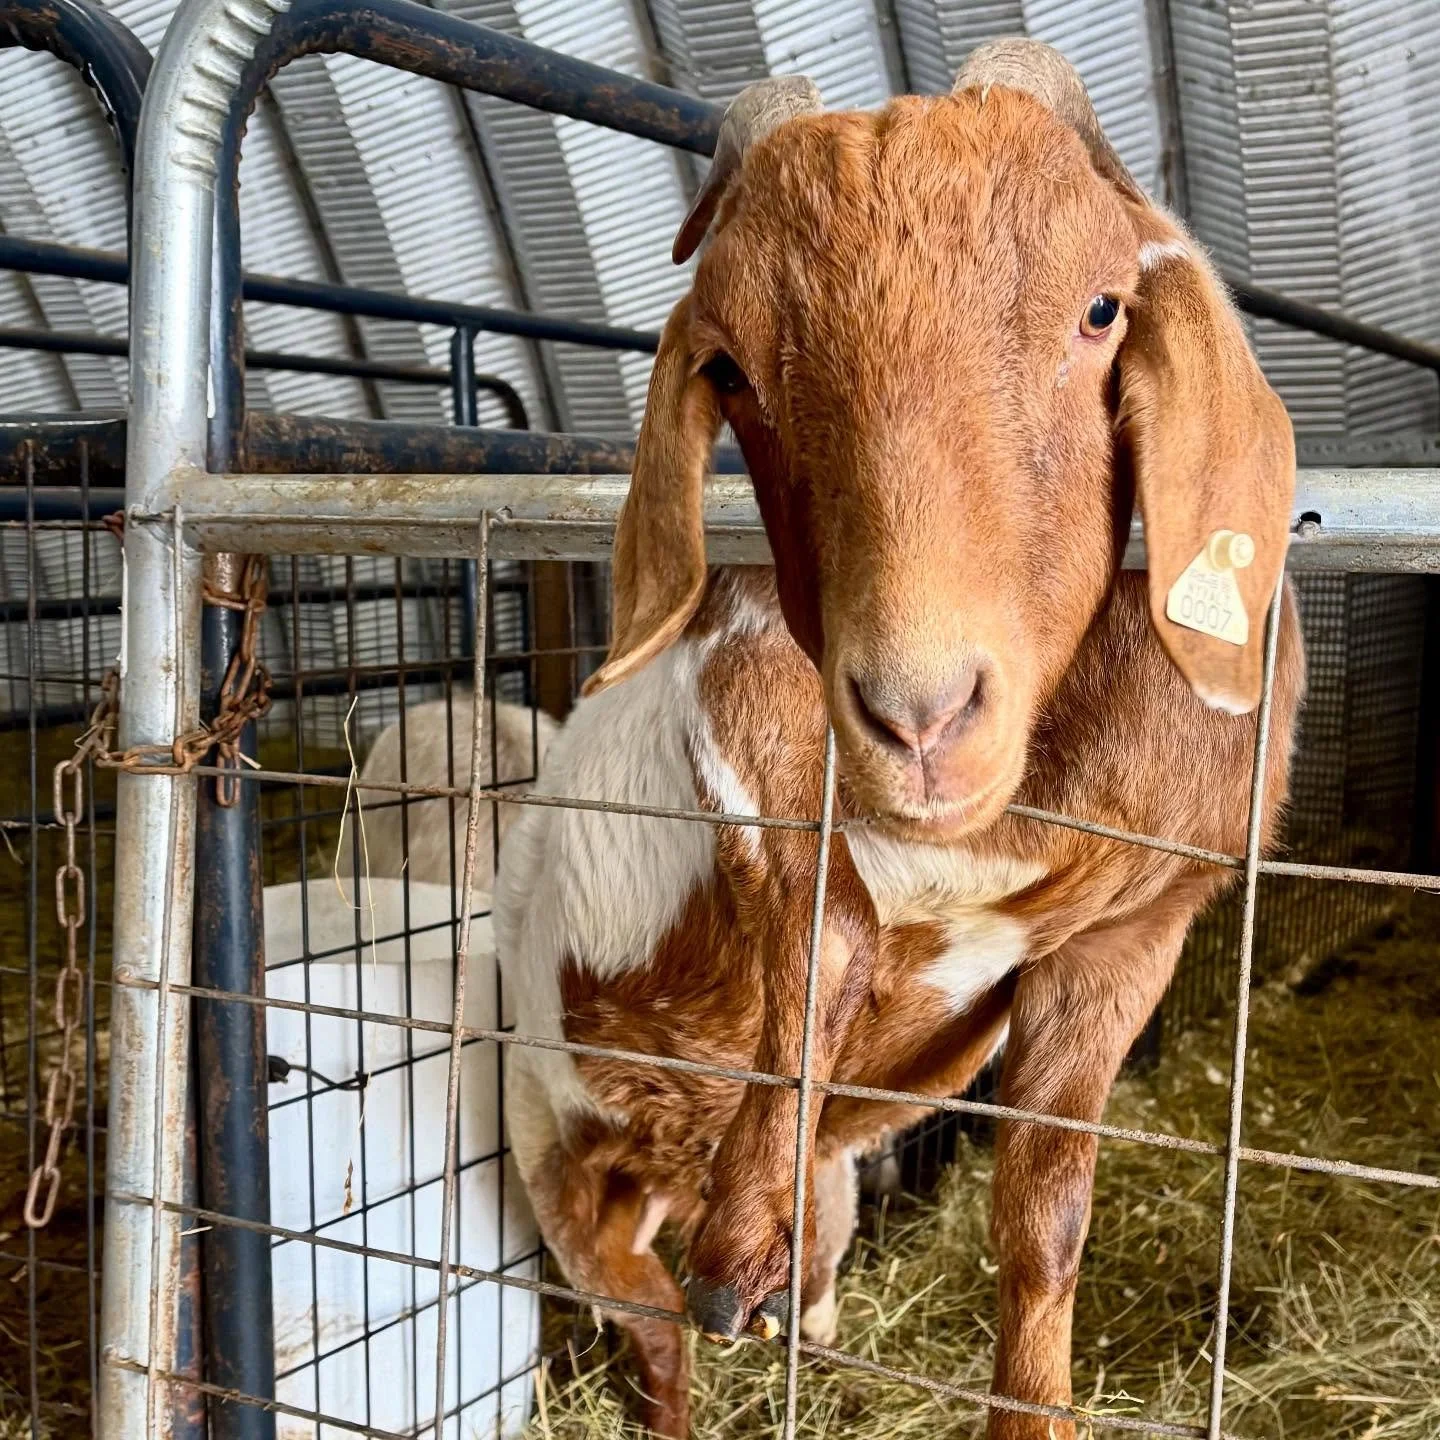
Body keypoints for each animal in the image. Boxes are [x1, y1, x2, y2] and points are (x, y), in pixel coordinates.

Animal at [495, 40, 1304, 1440]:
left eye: (1102, 310)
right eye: (730, 369)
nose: (922, 717)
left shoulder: (1135, 936)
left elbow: (1045, 1223)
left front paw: (1031, 1410)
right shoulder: (745, 688)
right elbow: (827, 919)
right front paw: (739, 1239)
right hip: (553, 1144)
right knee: (650, 1332)